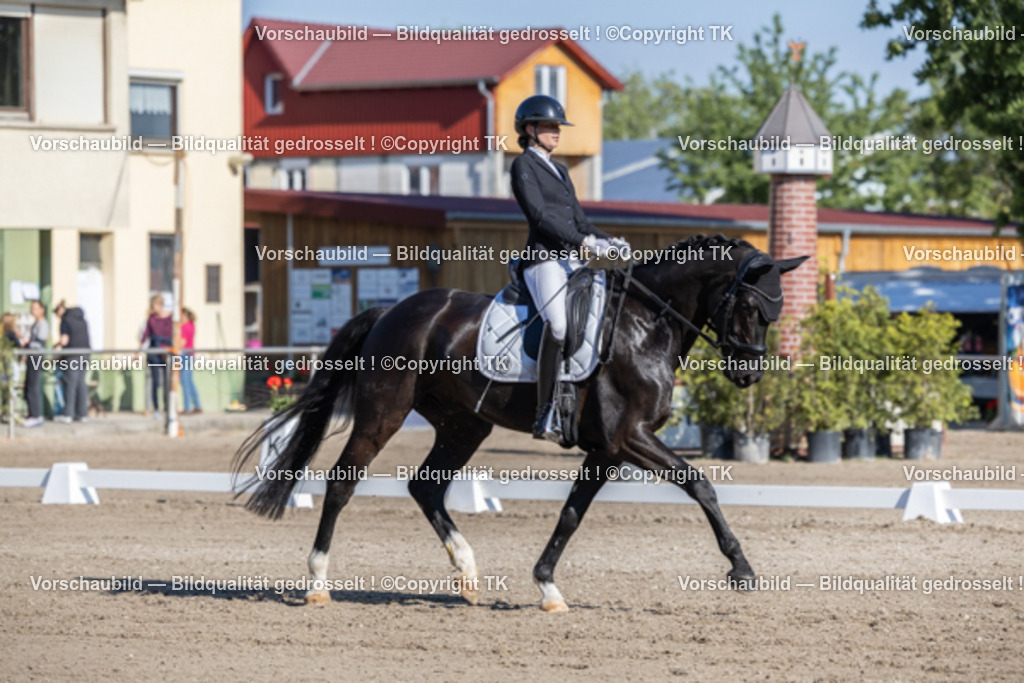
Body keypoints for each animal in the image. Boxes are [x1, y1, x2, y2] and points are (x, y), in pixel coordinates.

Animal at [234, 234, 806, 612]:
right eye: (751, 307)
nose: (749, 374)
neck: (645, 325)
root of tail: (391, 312)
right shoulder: (631, 438)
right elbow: (700, 484)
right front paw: (742, 569)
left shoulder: (607, 450)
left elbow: (571, 515)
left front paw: (547, 586)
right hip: (385, 411)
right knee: (342, 481)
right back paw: (317, 582)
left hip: (465, 425)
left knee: (426, 487)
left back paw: (467, 574)